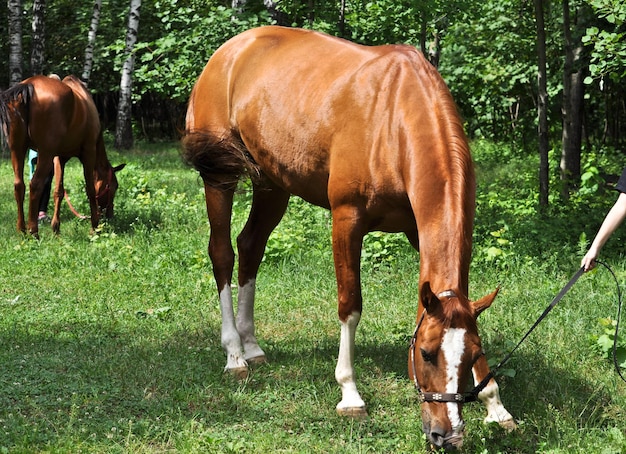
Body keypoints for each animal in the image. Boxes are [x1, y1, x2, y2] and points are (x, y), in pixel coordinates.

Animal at [0, 73, 123, 238]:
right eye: (114, 186)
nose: (109, 215)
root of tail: (28, 86)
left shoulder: (59, 158)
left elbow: (58, 190)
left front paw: (56, 228)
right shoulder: (89, 152)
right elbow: (90, 189)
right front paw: (94, 227)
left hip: (17, 149)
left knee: (19, 185)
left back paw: (22, 230)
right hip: (44, 153)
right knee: (35, 185)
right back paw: (34, 232)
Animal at [183, 26, 516, 448]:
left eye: (473, 355)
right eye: (426, 354)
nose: (447, 434)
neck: (393, 120)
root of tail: (230, 51)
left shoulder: (419, 232)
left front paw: (496, 406)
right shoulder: (346, 221)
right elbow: (350, 305)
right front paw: (350, 394)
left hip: (272, 183)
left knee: (251, 246)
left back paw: (252, 345)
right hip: (219, 177)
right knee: (223, 253)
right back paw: (234, 355)